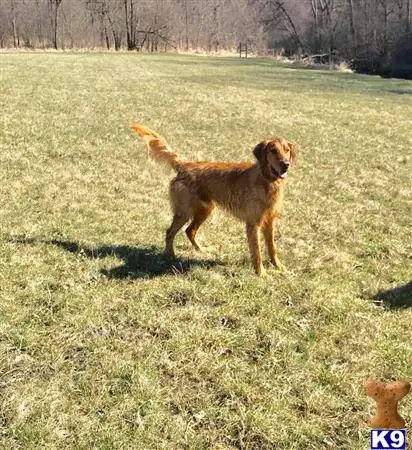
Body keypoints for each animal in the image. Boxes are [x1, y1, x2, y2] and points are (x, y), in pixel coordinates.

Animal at [130, 121, 294, 274]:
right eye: (273, 151)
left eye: (286, 150)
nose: (286, 164)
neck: (266, 180)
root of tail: (184, 165)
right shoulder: (253, 224)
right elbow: (257, 253)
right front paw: (262, 274)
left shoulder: (269, 221)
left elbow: (272, 248)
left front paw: (279, 267)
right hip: (184, 212)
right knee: (170, 232)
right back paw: (170, 255)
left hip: (205, 210)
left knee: (190, 230)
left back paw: (201, 250)